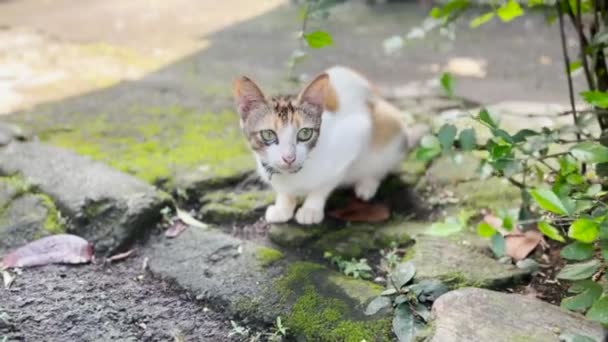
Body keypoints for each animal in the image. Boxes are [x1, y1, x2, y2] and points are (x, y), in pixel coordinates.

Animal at [234, 65, 428, 226]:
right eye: (268, 134)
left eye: (305, 133)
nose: (289, 157)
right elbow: (284, 191)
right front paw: (283, 206)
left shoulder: (354, 137)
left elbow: (324, 184)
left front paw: (311, 208)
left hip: (389, 127)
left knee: (381, 166)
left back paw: (367, 185)